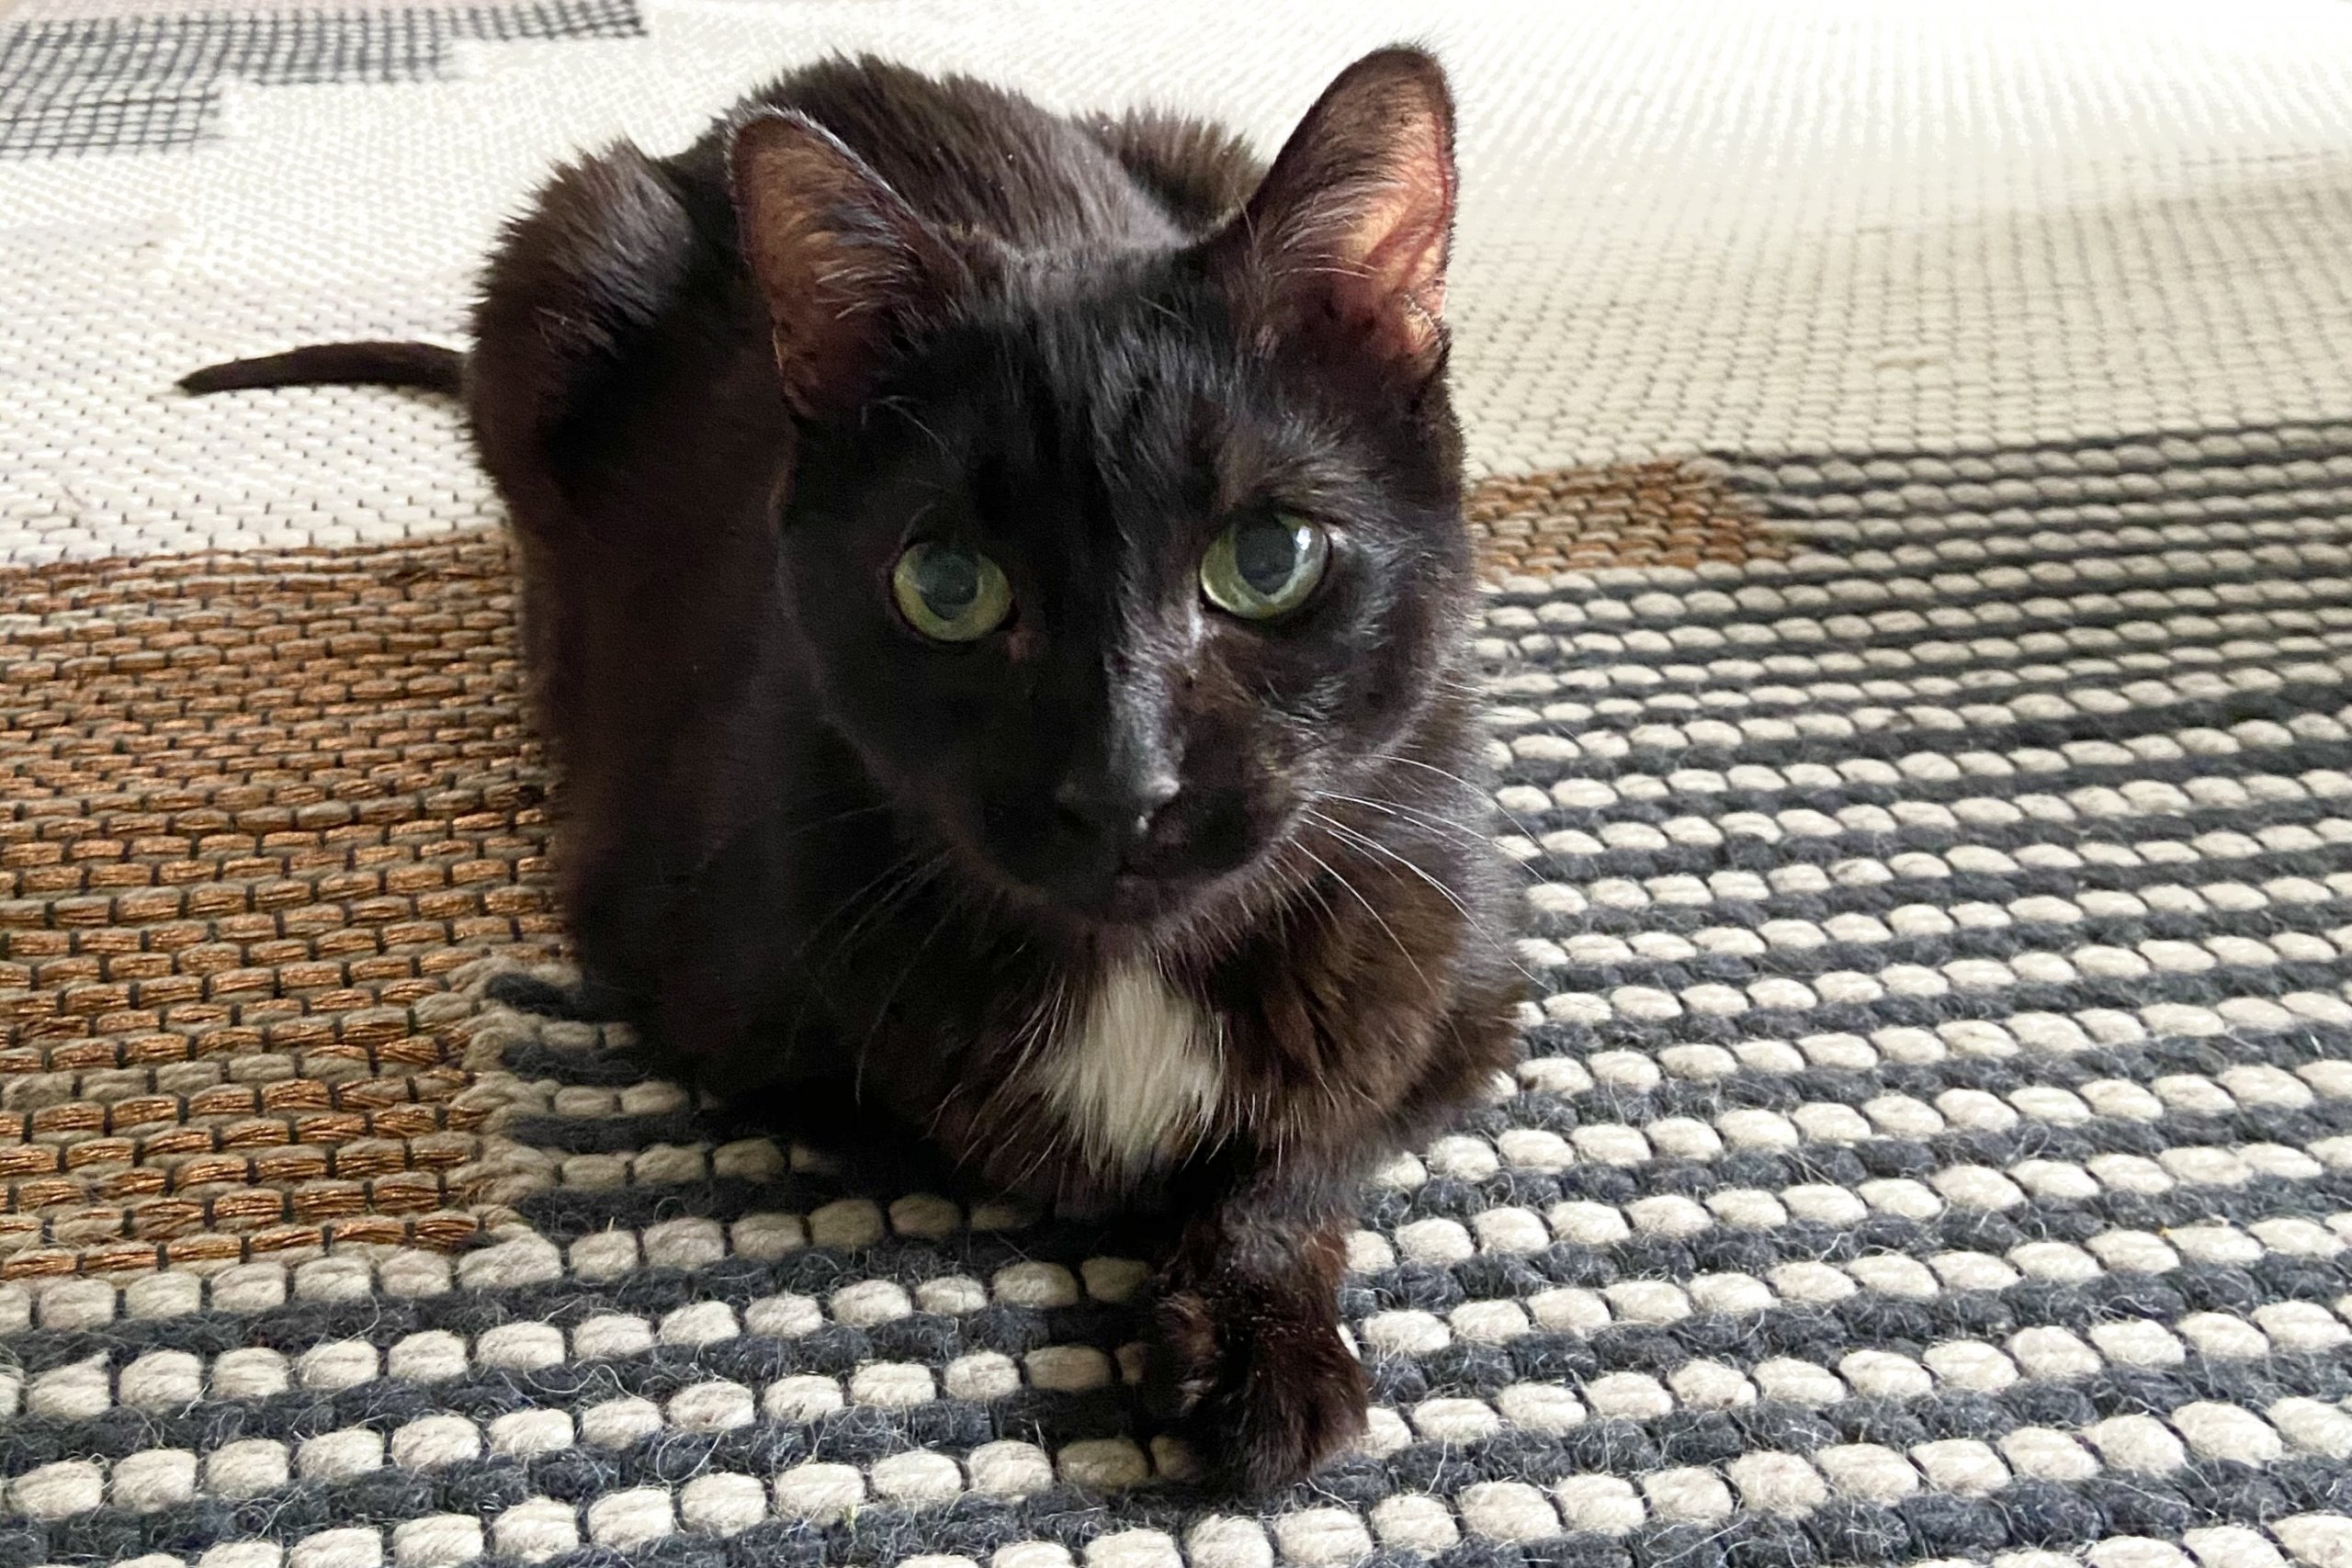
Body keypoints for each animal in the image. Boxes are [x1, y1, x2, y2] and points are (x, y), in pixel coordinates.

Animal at [178, 51, 1523, 1495]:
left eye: (1267, 560)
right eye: (947, 586)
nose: (1123, 786)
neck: (1129, 968)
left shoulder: (1456, 957)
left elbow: (1322, 1128)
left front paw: (1256, 1334)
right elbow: (978, 1129)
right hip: (561, 268)